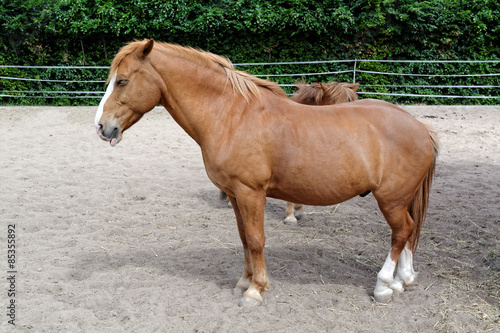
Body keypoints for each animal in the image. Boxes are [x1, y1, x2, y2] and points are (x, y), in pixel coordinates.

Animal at [94, 40, 438, 306]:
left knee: (401, 233)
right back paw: (403, 280)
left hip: (391, 199)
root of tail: (421, 128)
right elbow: (244, 238)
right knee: (408, 232)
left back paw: (384, 286)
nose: (101, 127)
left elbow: (257, 240)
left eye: (122, 80)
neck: (231, 115)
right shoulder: (235, 195)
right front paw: (244, 282)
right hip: (402, 199)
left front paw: (256, 291)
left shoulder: (251, 193)